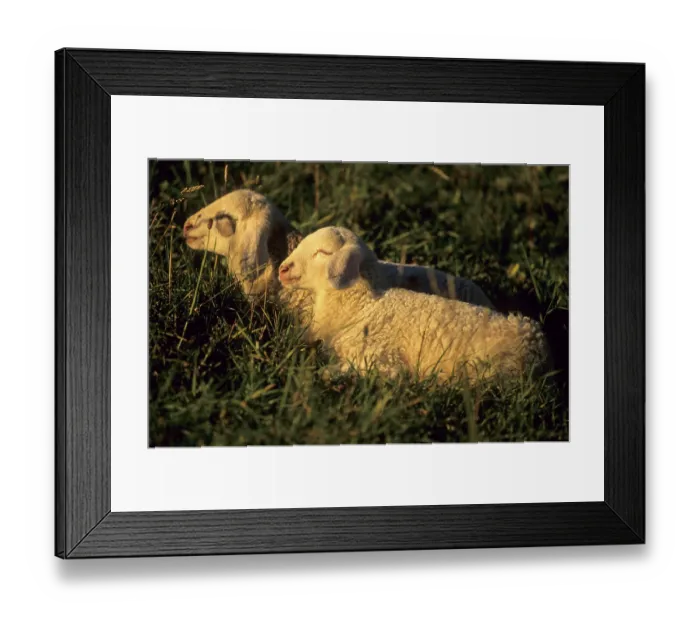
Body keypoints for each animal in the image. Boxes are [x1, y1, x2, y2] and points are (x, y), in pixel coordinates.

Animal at [278, 227, 548, 383]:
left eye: (323, 252)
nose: (283, 269)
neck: (363, 307)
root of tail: (538, 345)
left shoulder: (380, 358)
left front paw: (323, 374)